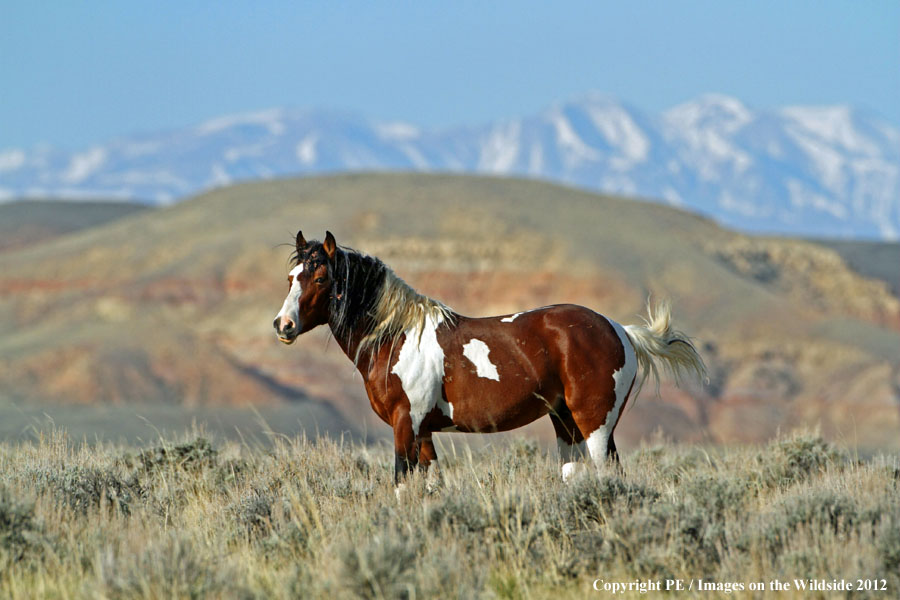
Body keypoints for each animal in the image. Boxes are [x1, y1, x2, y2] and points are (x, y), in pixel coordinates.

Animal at [273, 231, 706, 484]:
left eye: (320, 278)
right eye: (291, 277)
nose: (283, 325)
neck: (396, 337)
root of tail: (620, 330)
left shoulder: (405, 425)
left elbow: (401, 483)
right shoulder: (424, 431)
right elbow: (431, 486)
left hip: (595, 424)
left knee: (608, 474)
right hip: (566, 423)